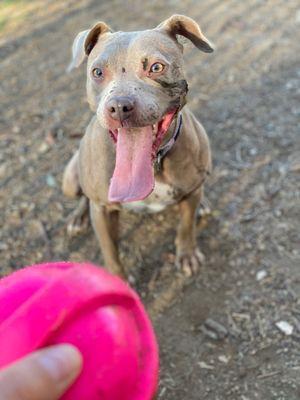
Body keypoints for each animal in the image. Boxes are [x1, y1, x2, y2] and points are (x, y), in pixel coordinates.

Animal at [62, 14, 213, 278]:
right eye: (97, 72)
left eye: (156, 67)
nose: (119, 106)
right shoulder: (102, 212)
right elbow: (111, 253)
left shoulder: (190, 193)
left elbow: (186, 225)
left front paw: (187, 254)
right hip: (70, 180)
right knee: (83, 196)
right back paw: (78, 217)